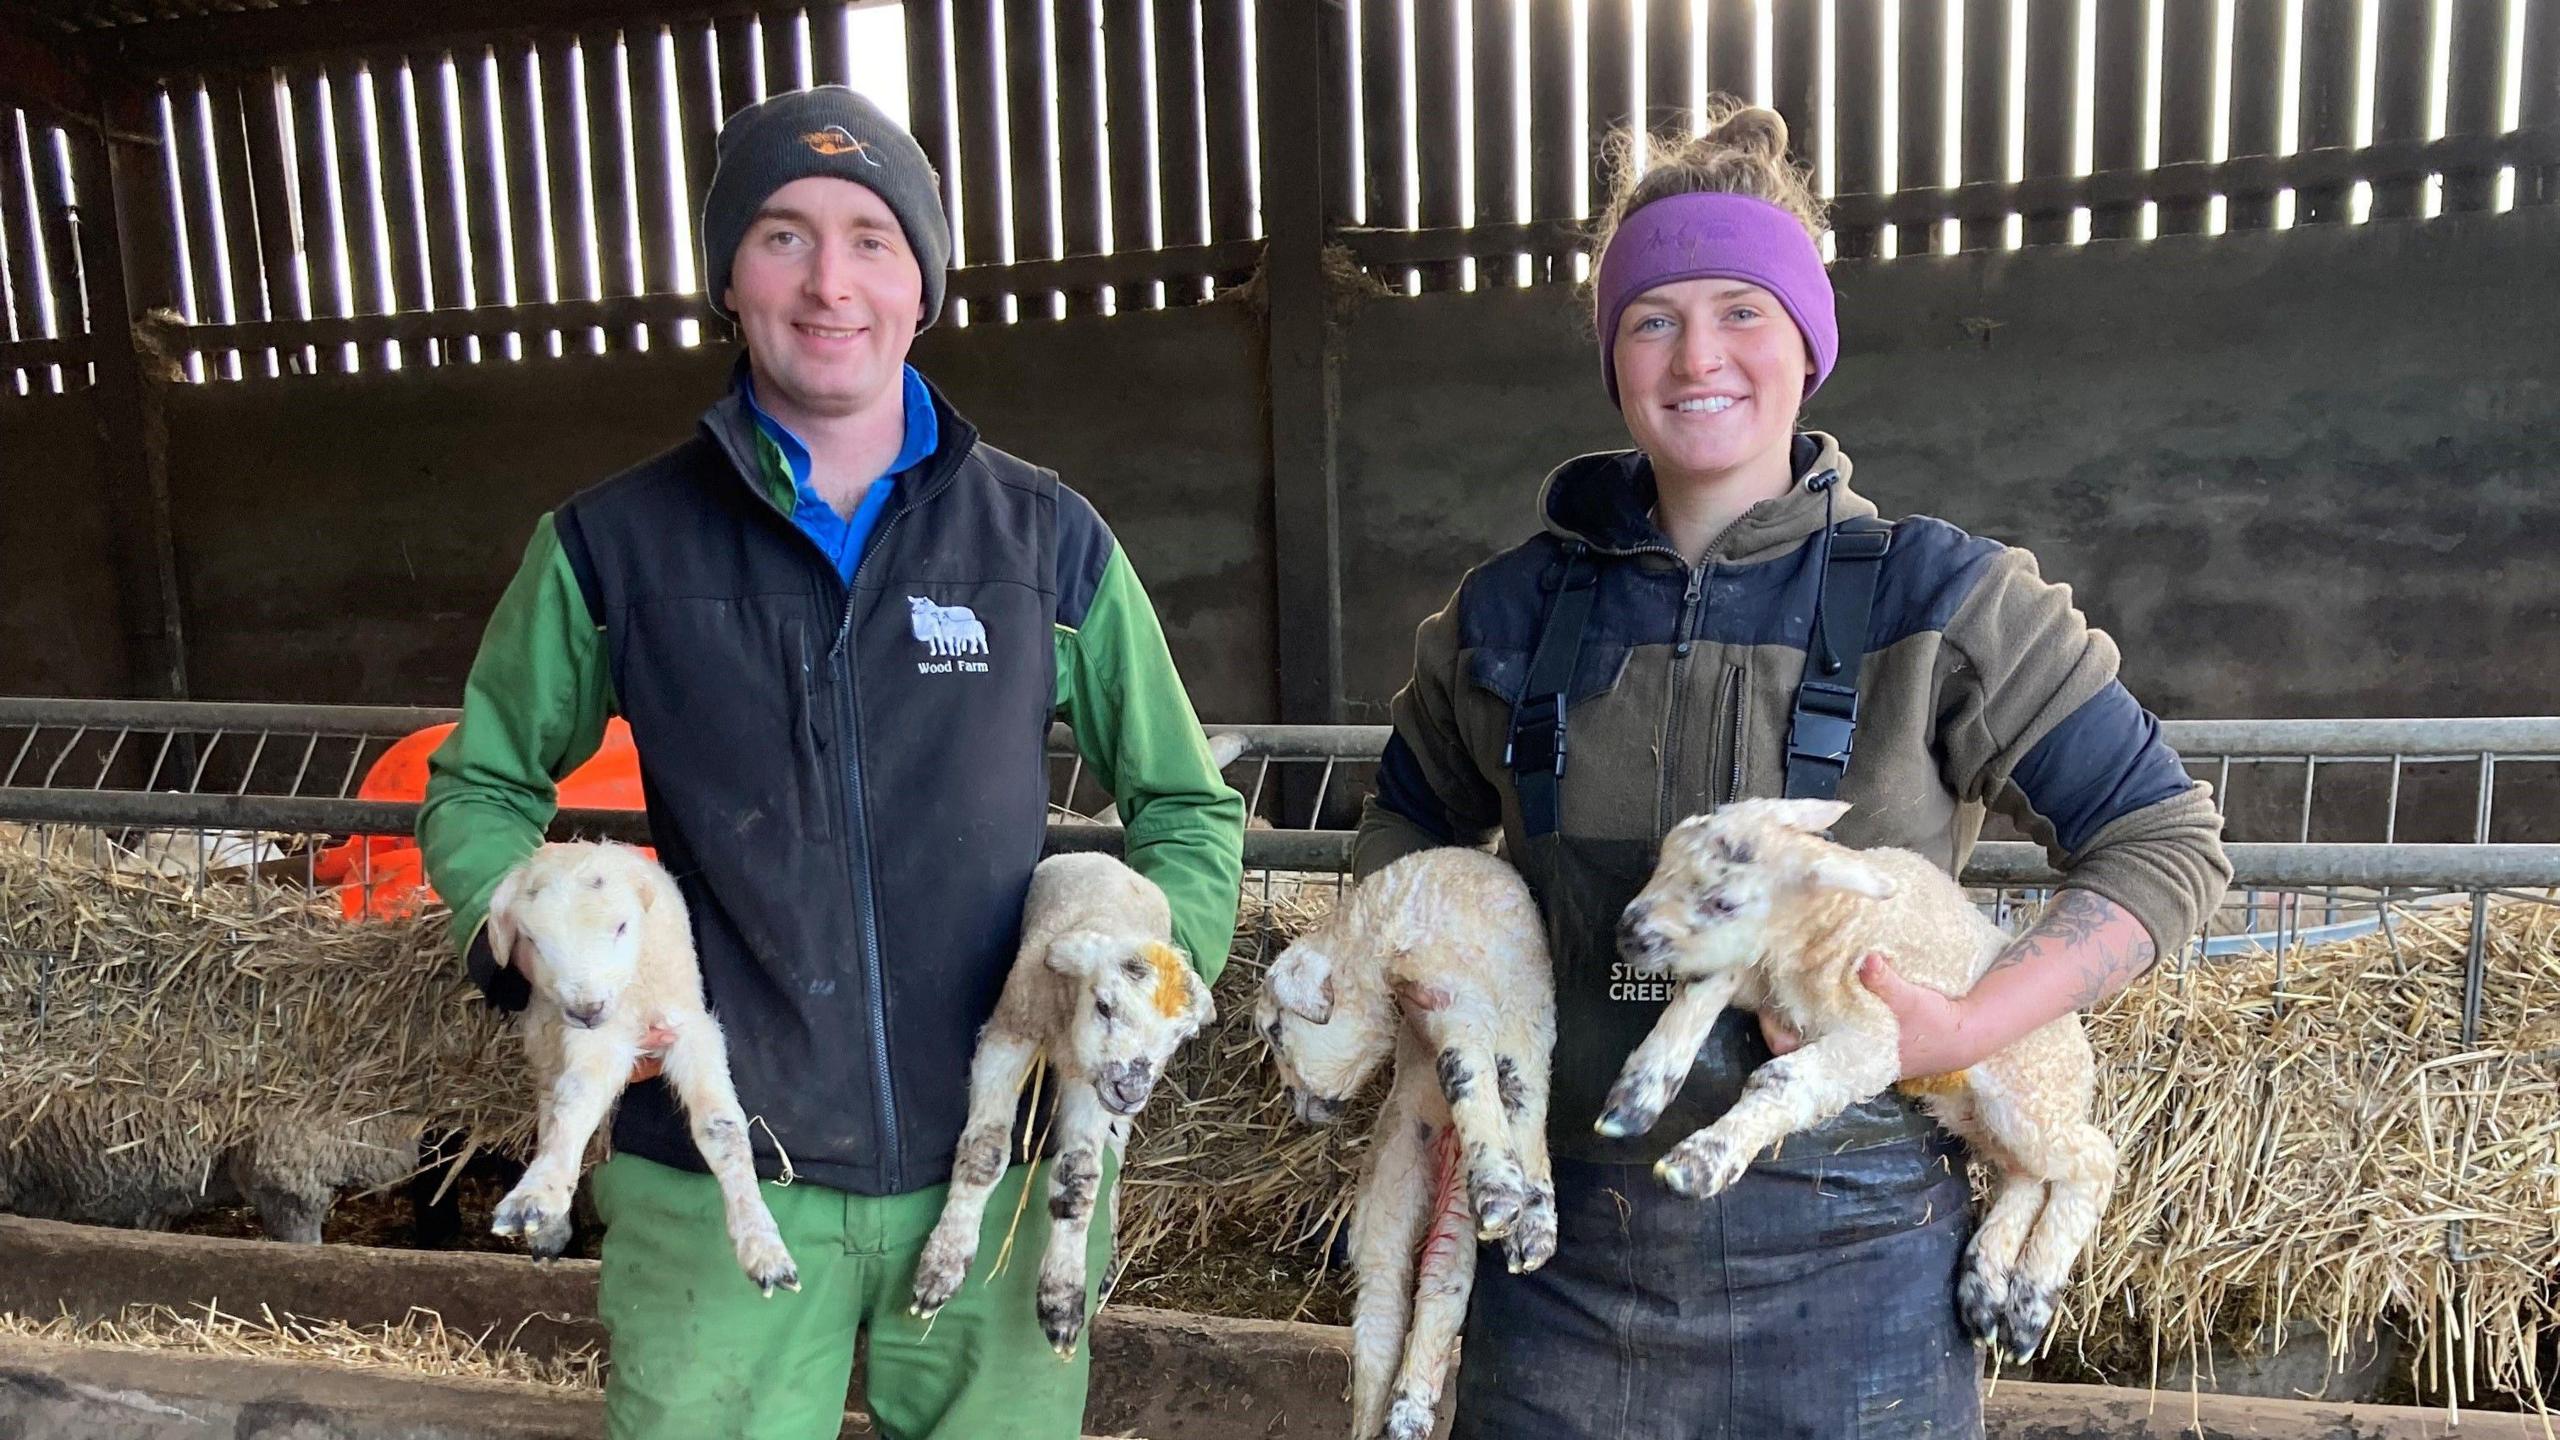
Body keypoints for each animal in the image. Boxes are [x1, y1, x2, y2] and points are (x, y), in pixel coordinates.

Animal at [481, 830, 793, 1291]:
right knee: (549, 1100)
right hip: (543, 1032)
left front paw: (764, 1247)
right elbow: (574, 1104)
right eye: (532, 941)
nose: (586, 1008)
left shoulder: (690, 1026)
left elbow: (721, 1127)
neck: (634, 997)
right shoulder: (596, 1039)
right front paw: (536, 1196)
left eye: (622, 927)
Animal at [906, 850, 1213, 1352]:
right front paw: (942, 1266)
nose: (1130, 1092)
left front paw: (1063, 1300)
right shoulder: (1011, 1031)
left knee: (1114, 1160)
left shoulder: (1089, 1086)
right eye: (1105, 1006)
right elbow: (987, 1151)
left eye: (1181, 1038)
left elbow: (1080, 1178)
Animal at [1259, 845, 1556, 1424]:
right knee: (1382, 1321)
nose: (1294, 1105)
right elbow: (1470, 1074)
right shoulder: (1453, 1002)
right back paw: (1387, 1416)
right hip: (1388, 1200)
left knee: (1440, 1290)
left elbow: (1505, 1093)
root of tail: (1442, 1158)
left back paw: (1411, 1411)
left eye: (1278, 1031)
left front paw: (1528, 1216)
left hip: (1453, 1219)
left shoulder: (1496, 1006)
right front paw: (1507, 1190)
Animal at [1597, 794, 2119, 1352]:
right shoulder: (1749, 966)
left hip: (2028, 1096)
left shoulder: (1875, 1037)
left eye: (1724, 904)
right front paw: (1635, 1099)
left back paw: (2031, 1302)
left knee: (2092, 1160)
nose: (1628, 932)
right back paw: (1984, 1289)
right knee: (2027, 1178)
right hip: (1976, 1113)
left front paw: (1700, 1161)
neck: (1822, 922)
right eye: (1667, 853)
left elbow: (1781, 1079)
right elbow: (1698, 994)